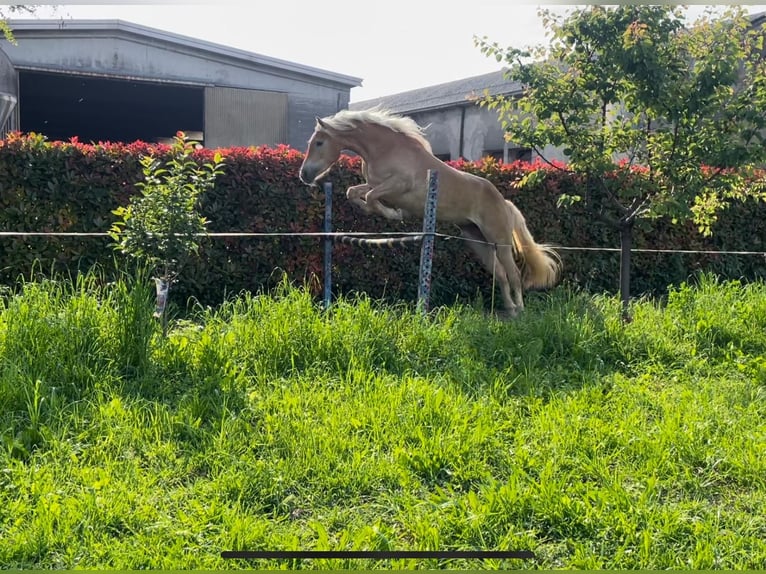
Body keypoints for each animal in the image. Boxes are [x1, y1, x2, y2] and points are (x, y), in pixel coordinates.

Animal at [300, 106, 564, 318]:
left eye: (319, 142)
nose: (305, 175)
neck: (385, 149)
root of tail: (504, 202)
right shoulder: (376, 184)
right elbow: (354, 192)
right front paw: (387, 211)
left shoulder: (398, 185)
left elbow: (370, 196)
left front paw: (396, 214)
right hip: (477, 241)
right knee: (500, 274)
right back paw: (509, 309)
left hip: (500, 241)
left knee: (514, 274)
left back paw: (519, 310)